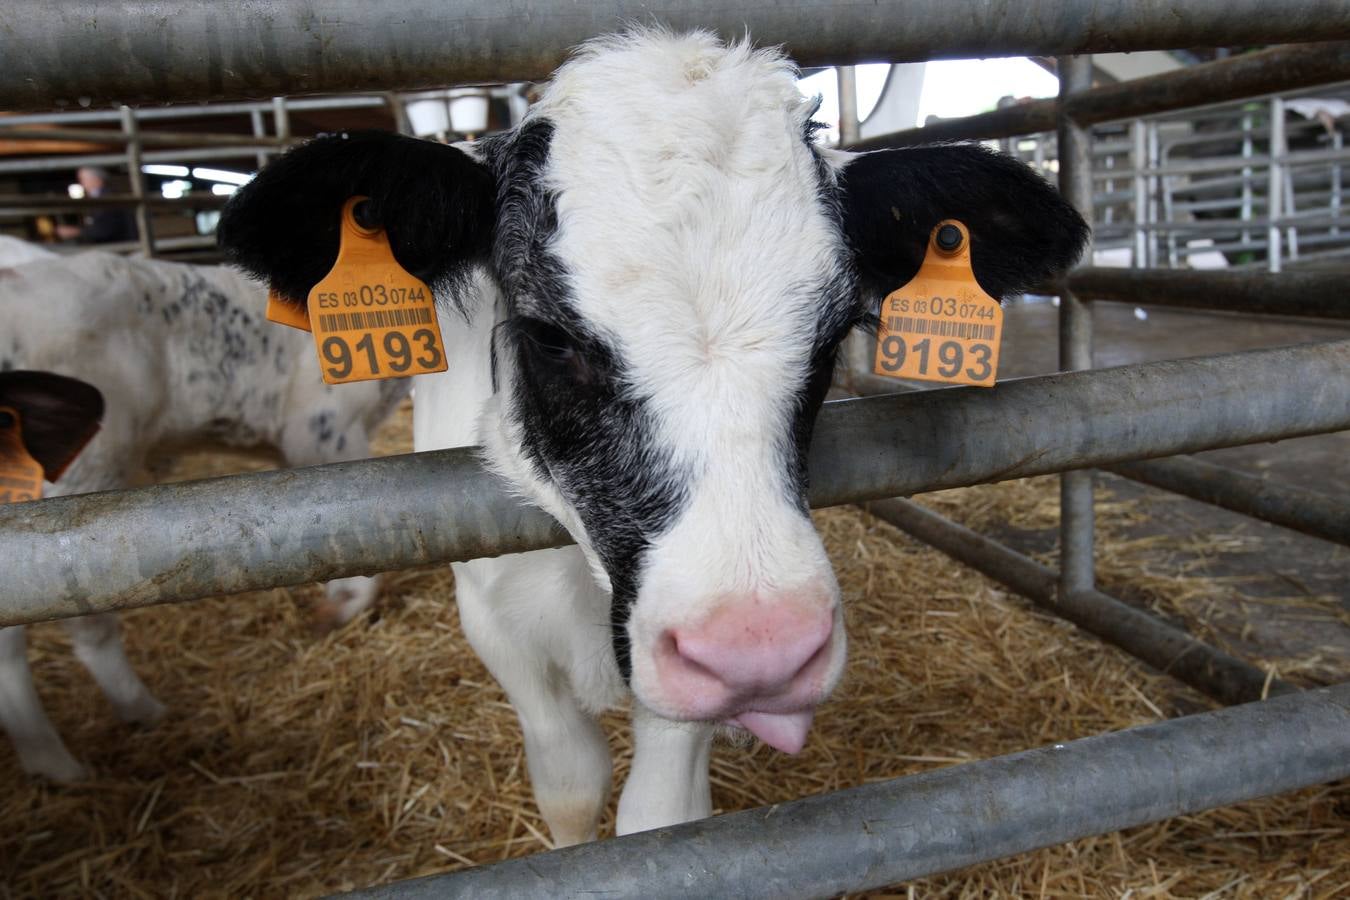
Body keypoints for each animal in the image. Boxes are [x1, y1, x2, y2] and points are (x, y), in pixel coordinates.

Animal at [218, 29, 1085, 847]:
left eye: (836, 331)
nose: (760, 650)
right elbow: (569, 782)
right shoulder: (492, 615)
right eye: (549, 336)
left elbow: (658, 817)